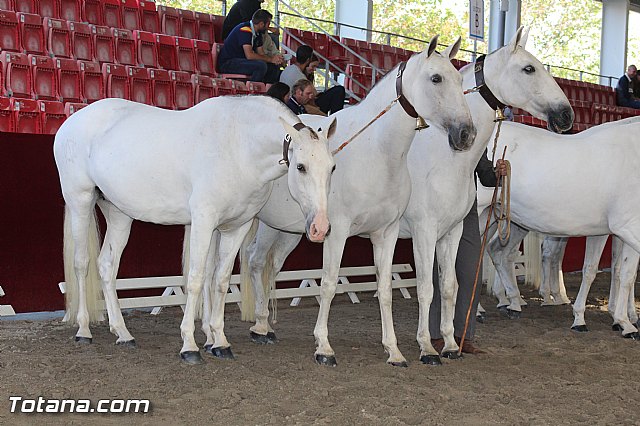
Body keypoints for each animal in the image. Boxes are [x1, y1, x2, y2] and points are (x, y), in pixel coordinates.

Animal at [51, 95, 336, 364]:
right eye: (301, 167)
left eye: (332, 167)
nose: (320, 227)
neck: (238, 147)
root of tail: (70, 123)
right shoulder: (203, 221)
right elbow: (196, 279)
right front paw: (190, 346)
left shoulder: (236, 227)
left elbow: (220, 280)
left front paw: (219, 342)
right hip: (80, 201)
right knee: (81, 263)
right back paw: (84, 331)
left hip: (119, 213)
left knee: (107, 266)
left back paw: (123, 333)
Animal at [238, 35, 478, 366]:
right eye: (436, 78)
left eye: (459, 79)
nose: (466, 134)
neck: (376, 152)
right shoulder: (337, 231)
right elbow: (328, 284)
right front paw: (324, 347)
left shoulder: (387, 233)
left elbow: (386, 289)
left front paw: (394, 351)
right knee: (251, 261)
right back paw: (252, 328)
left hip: (287, 230)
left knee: (266, 265)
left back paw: (264, 324)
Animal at [482, 116, 640, 340]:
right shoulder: (626, 228)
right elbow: (606, 272)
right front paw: (608, 321)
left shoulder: (616, 233)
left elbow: (623, 274)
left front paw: (623, 320)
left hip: (495, 217)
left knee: (494, 252)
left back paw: (511, 303)